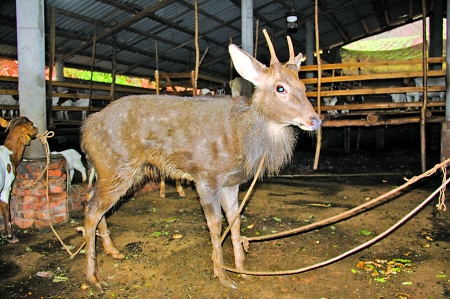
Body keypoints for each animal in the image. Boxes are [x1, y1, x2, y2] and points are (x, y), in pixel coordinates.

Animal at [0, 116, 38, 244]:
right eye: (31, 124)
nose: (37, 128)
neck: (9, 152)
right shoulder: (6, 187)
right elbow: (6, 212)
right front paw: (11, 236)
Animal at [80, 29, 320, 290]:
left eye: (303, 86)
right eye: (280, 88)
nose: (315, 120)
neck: (242, 138)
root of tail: (85, 130)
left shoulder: (231, 182)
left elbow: (235, 220)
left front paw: (242, 270)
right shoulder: (207, 175)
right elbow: (215, 224)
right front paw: (223, 276)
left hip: (117, 170)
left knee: (91, 200)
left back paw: (113, 251)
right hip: (115, 165)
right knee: (91, 210)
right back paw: (93, 277)